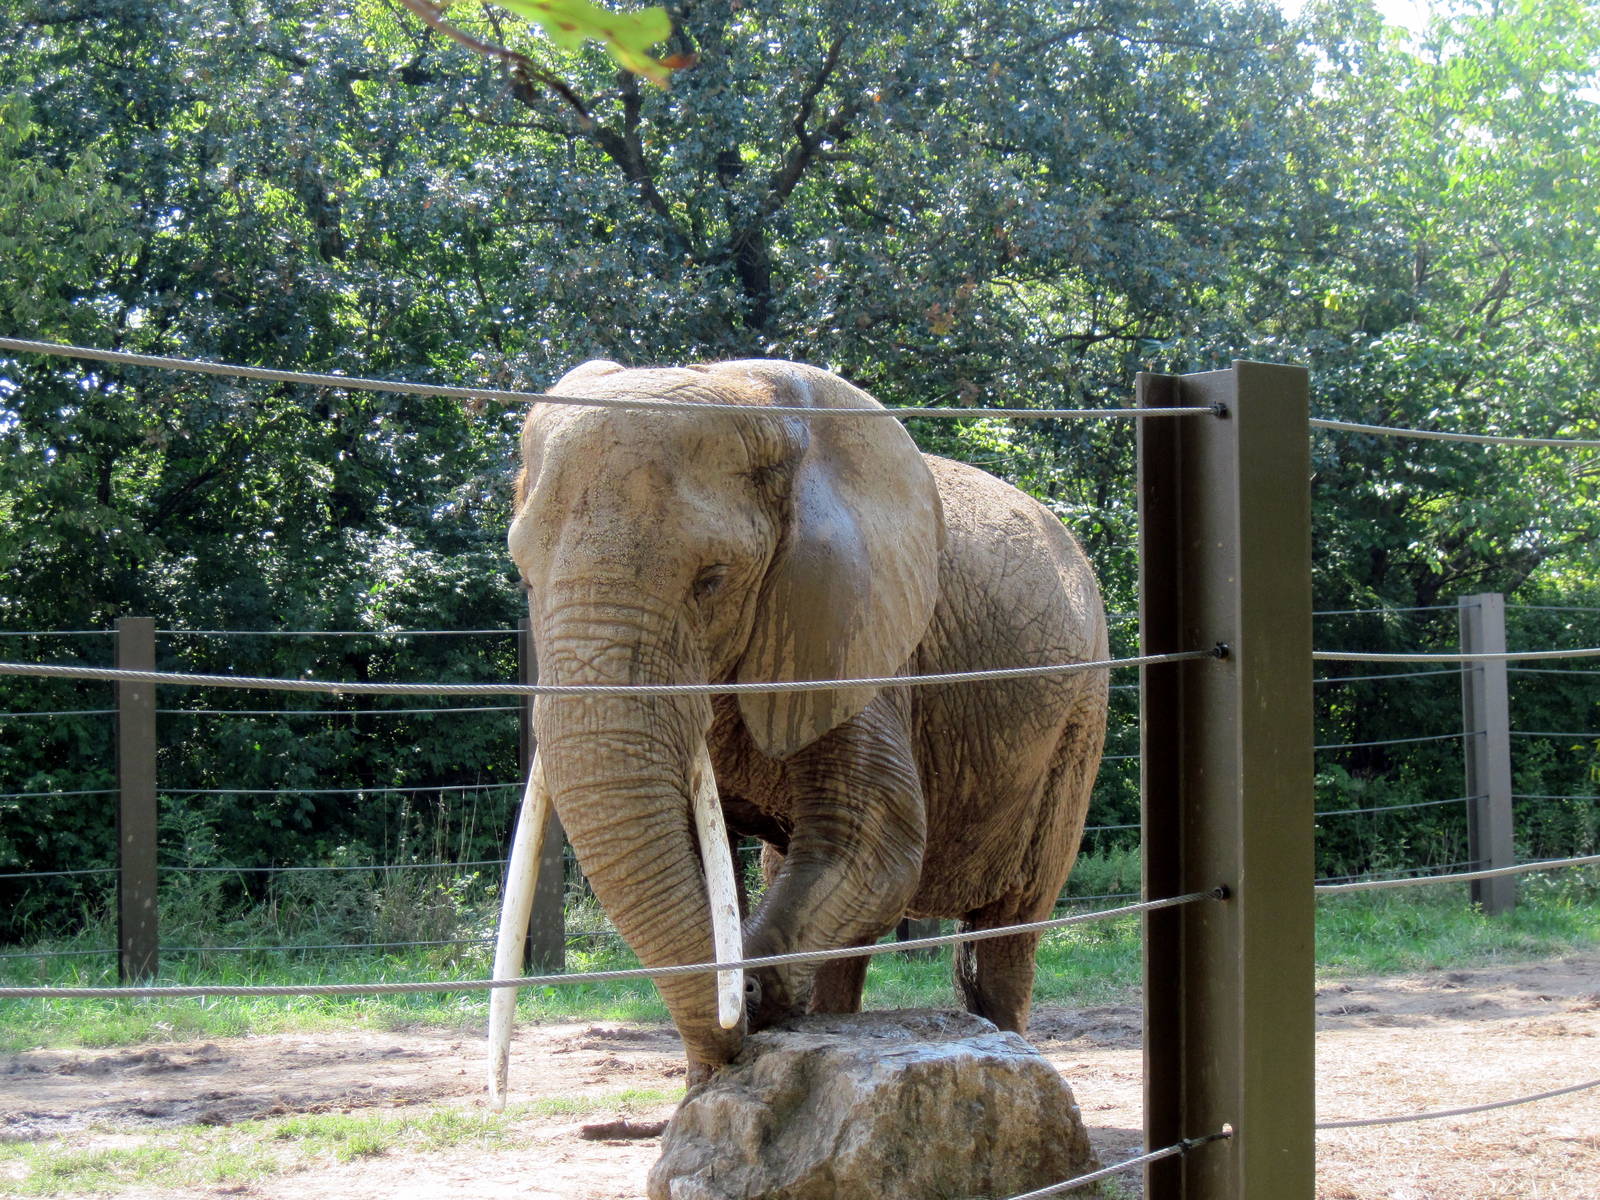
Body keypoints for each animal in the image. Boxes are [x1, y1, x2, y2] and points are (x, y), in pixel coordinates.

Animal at [487, 359, 1108, 1106]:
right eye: (524, 576)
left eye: (711, 580)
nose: (744, 1008)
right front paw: (714, 1084)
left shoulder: (855, 632)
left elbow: (874, 835)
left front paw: (754, 996)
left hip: (1080, 713)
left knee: (1005, 934)